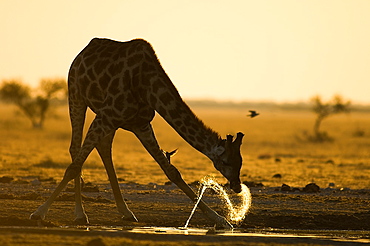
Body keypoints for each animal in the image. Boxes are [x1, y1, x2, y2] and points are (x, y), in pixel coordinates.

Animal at [30, 38, 244, 229]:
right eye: (226, 162)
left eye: (240, 162)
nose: (237, 185)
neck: (147, 86)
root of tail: (82, 52)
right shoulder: (107, 116)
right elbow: (74, 166)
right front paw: (39, 213)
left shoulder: (140, 124)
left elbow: (171, 171)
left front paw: (220, 220)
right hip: (77, 96)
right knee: (75, 149)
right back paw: (80, 214)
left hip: (107, 118)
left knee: (104, 147)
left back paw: (126, 212)